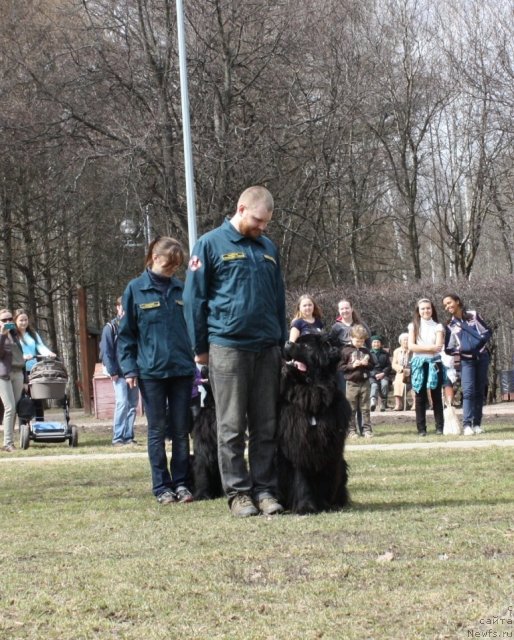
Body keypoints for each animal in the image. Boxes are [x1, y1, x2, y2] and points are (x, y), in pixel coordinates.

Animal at [276, 336, 352, 516]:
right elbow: (302, 481)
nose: (287, 342)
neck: (311, 397)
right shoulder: (299, 447)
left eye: (306, 345)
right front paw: (306, 507)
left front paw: (325, 505)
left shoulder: (329, 450)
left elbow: (326, 480)